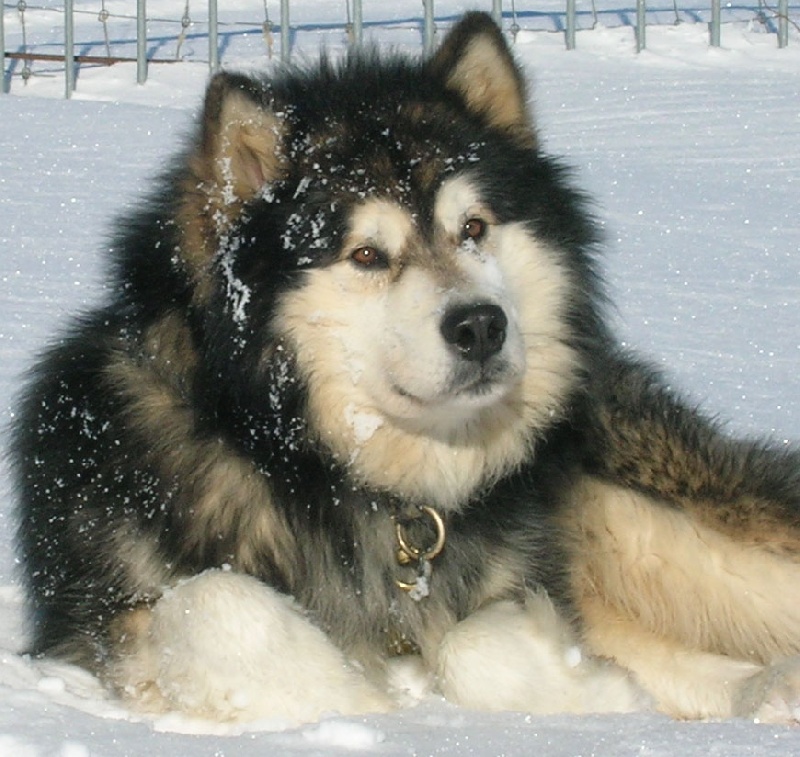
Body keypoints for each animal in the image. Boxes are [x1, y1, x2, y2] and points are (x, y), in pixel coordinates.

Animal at [10, 10, 800, 720]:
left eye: (473, 228)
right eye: (366, 254)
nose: (481, 326)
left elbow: (473, 641)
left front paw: (586, 685)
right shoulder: (100, 616)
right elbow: (214, 597)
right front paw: (359, 696)